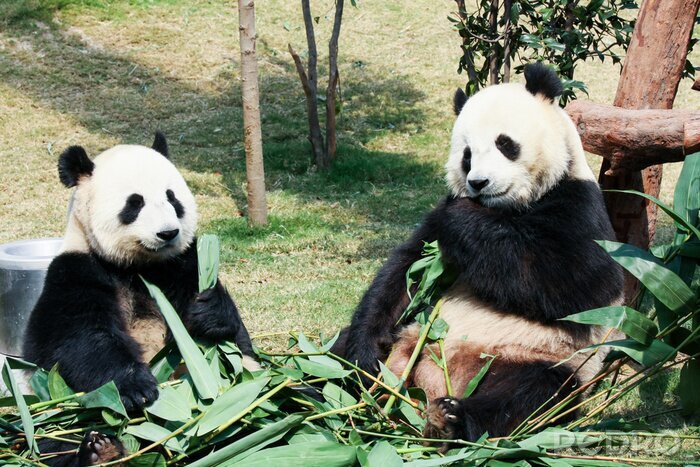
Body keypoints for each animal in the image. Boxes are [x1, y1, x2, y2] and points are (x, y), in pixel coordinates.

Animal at [23, 133, 258, 464]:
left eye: (172, 198)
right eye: (135, 203)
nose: (168, 233)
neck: (138, 265)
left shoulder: (181, 264)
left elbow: (232, 334)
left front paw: (209, 312)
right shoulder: (76, 270)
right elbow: (79, 340)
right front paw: (138, 387)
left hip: (248, 380)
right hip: (51, 405)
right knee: (52, 437)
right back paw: (101, 451)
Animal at [332, 63, 624, 442]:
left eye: (505, 144)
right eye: (467, 154)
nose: (478, 183)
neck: (505, 209)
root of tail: (434, 380)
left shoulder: (579, 207)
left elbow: (574, 283)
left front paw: (464, 219)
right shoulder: (433, 233)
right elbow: (403, 274)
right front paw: (365, 356)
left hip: (540, 359)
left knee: (530, 395)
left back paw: (451, 418)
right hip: (405, 339)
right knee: (335, 351)